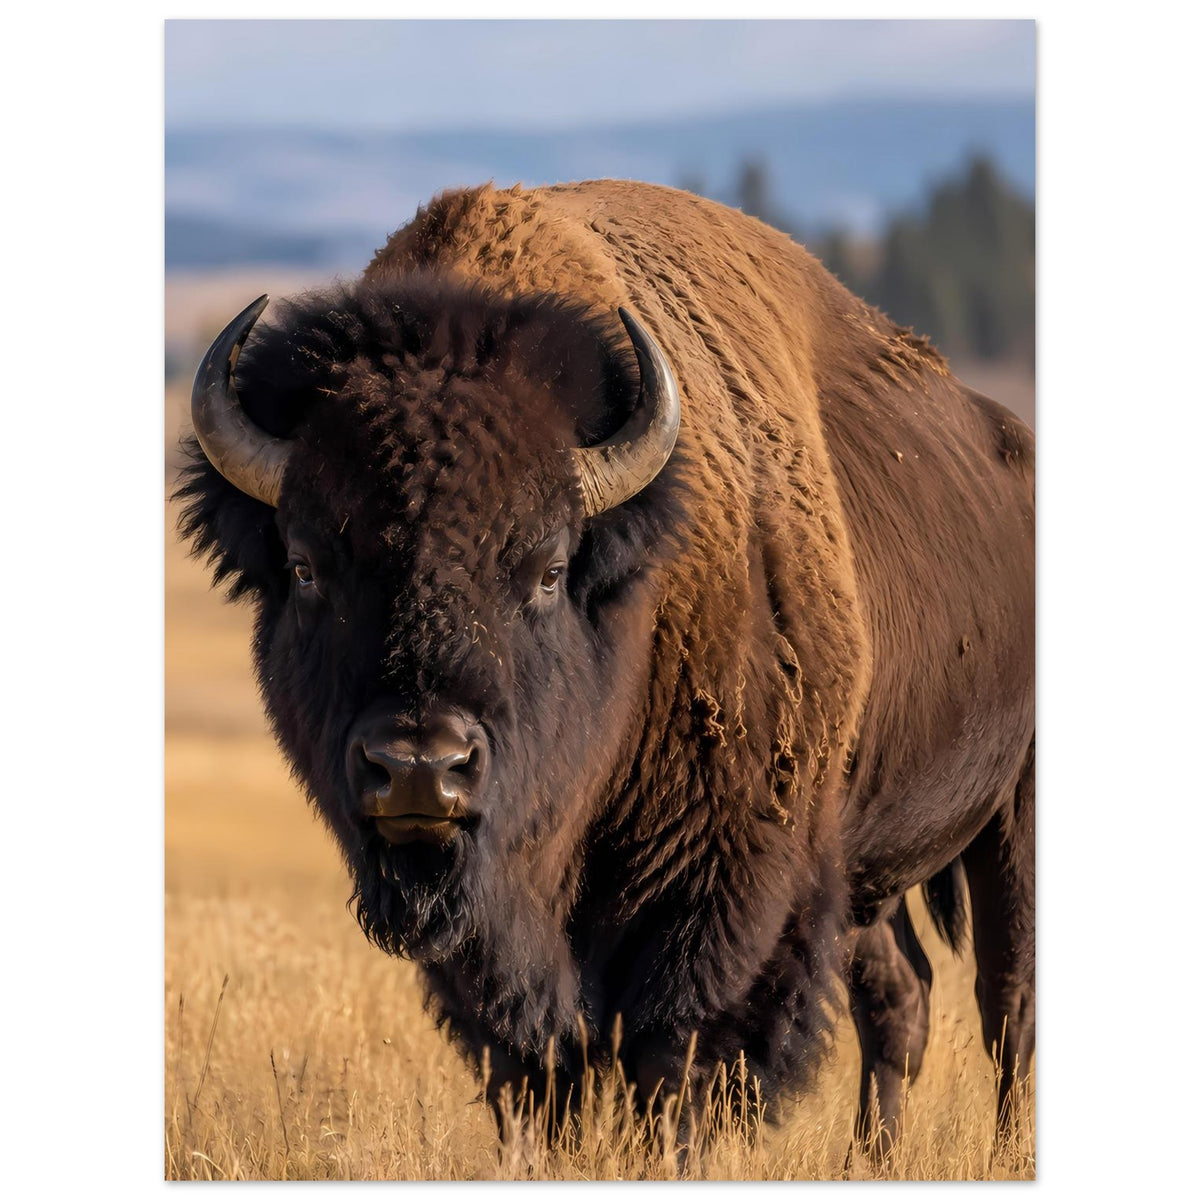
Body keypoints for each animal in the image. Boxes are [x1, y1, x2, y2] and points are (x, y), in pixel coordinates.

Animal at [178, 180, 1034, 1154]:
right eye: (306, 566)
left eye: (548, 568)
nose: (421, 768)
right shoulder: (495, 945)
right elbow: (536, 1069)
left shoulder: (720, 894)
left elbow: (675, 1062)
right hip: (863, 862)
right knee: (901, 992)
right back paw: (871, 1158)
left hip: (1009, 816)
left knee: (1006, 999)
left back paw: (1004, 1149)